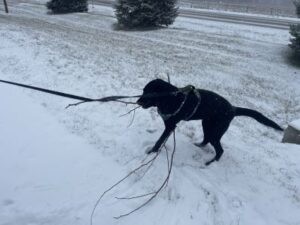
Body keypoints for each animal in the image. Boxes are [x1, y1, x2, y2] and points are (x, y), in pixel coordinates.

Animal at [137, 79, 282, 165]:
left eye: (149, 92)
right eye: (143, 90)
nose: (137, 101)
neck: (170, 98)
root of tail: (233, 109)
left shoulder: (170, 126)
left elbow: (159, 141)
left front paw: (151, 152)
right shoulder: (170, 126)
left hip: (215, 131)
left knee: (220, 150)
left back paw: (210, 163)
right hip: (207, 125)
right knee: (206, 140)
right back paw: (198, 146)